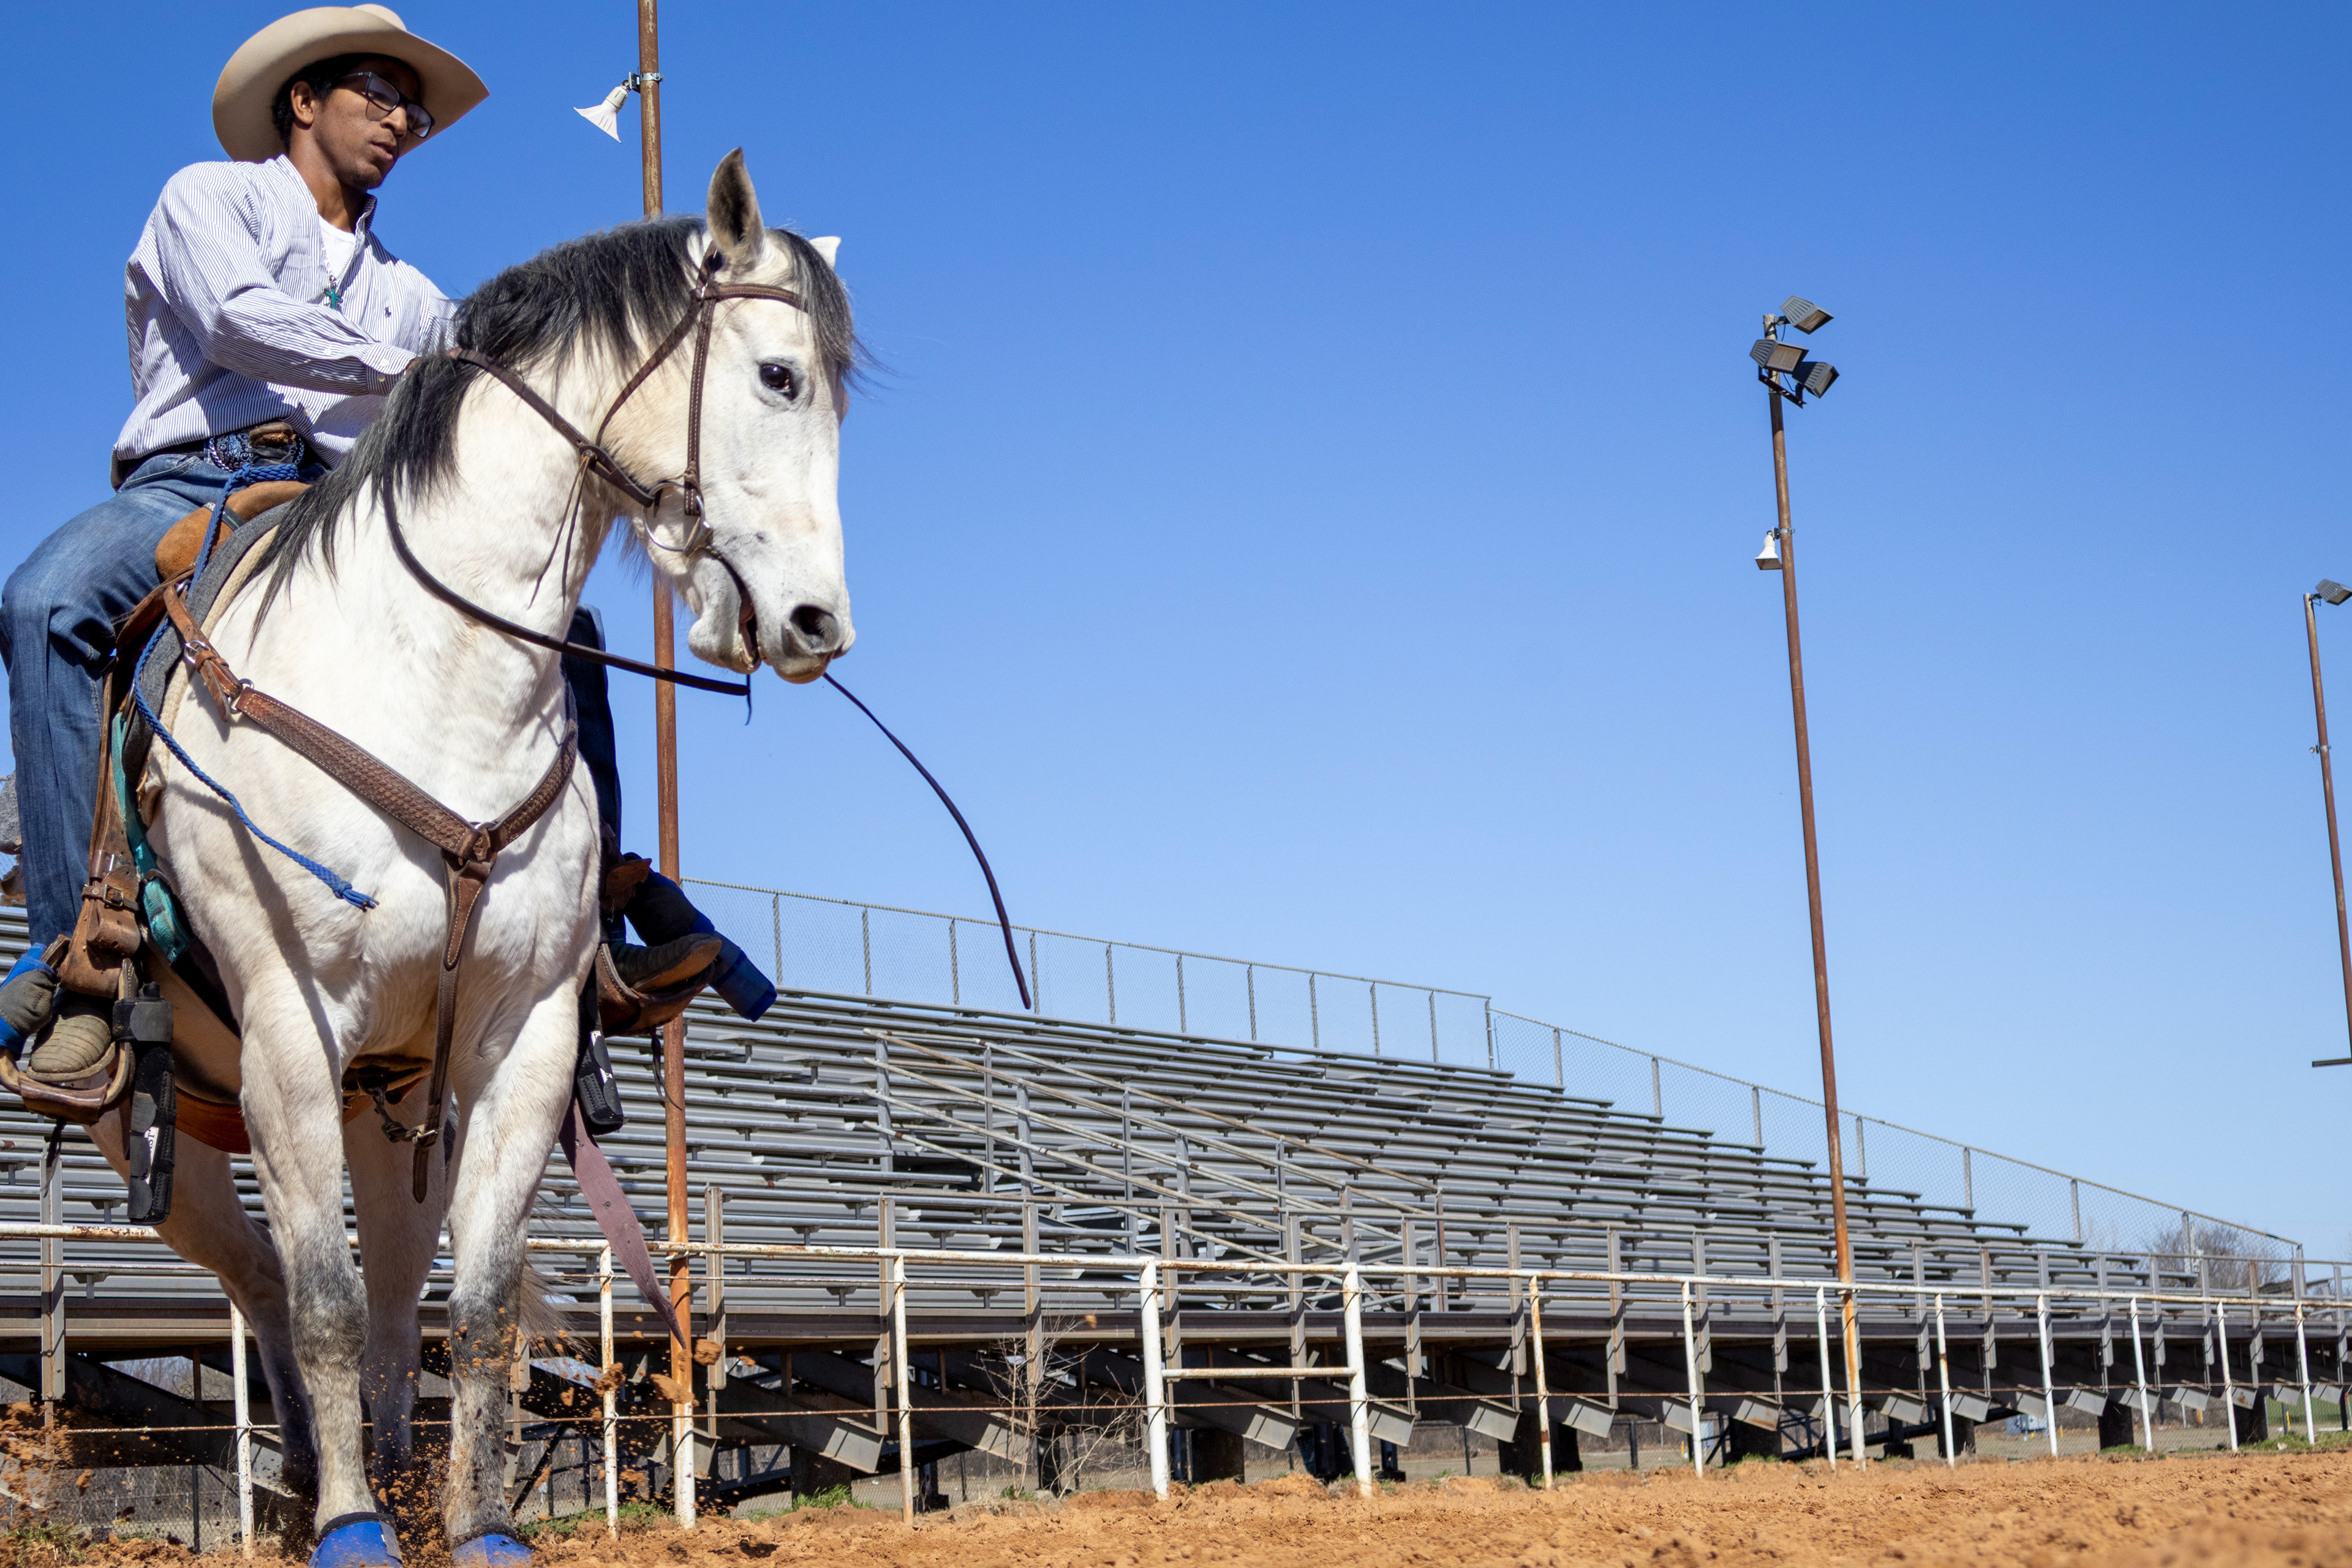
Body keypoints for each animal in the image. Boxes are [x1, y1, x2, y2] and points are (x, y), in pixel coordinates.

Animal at [85, 150, 854, 1565]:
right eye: (779, 376)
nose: (817, 623)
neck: (433, 684)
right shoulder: (289, 1030)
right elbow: (321, 1297)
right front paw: (349, 1529)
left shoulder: (525, 1033)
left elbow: (480, 1301)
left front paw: (482, 1524)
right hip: (162, 1129)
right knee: (271, 1281)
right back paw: (315, 1487)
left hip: (391, 1097)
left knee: (394, 1284)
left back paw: (389, 1470)